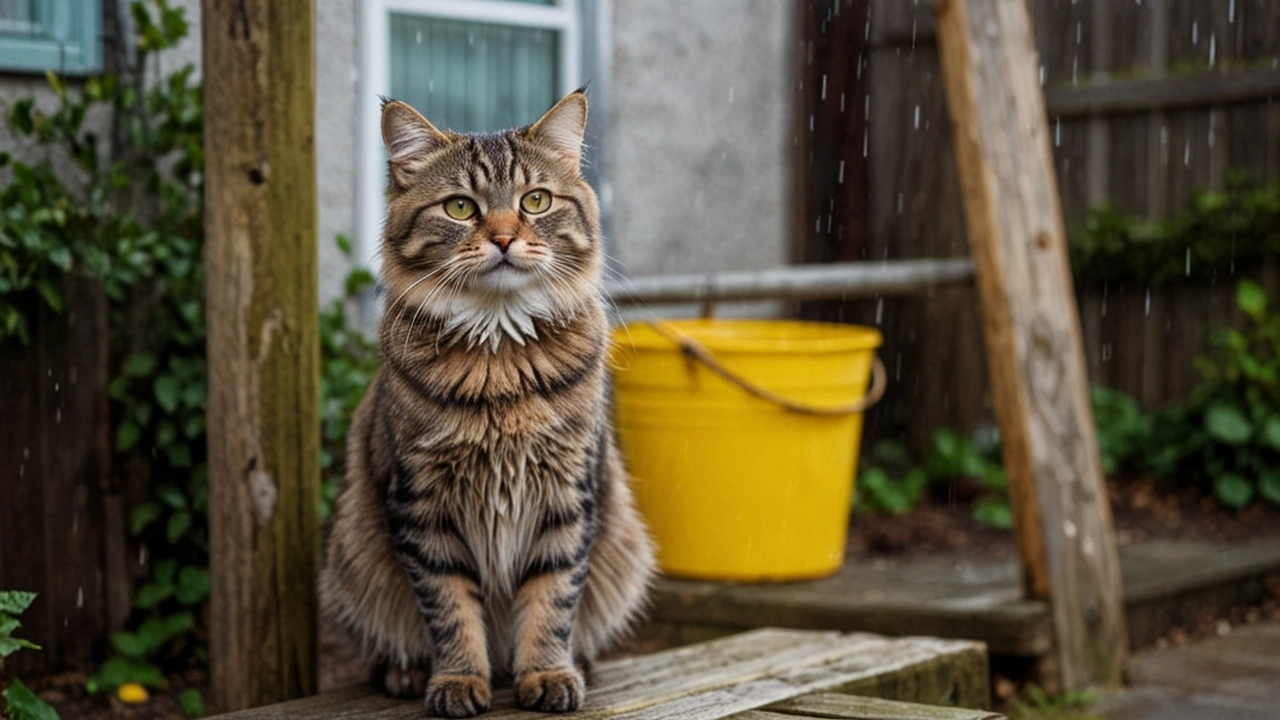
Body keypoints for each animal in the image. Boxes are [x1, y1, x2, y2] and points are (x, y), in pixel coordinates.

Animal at [325, 92, 655, 712]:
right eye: (460, 208)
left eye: (535, 201)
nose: (503, 238)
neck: (499, 362)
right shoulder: (422, 502)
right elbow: (450, 608)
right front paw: (457, 681)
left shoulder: (568, 494)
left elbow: (551, 599)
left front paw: (547, 674)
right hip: (353, 550)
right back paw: (408, 673)